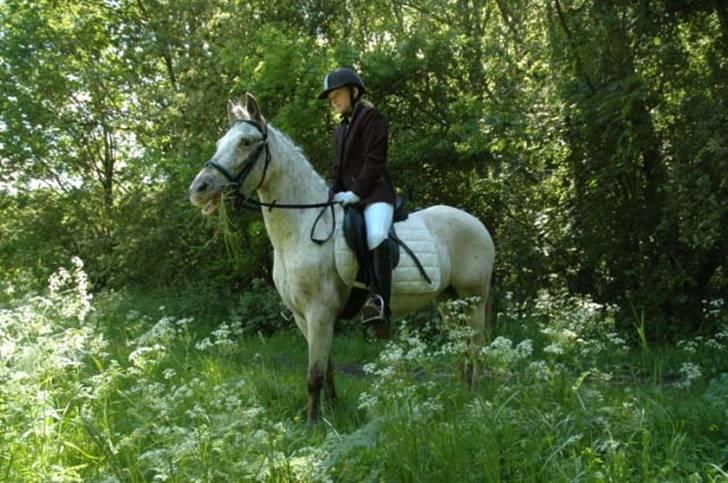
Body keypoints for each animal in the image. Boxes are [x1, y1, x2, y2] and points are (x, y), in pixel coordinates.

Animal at [189, 94, 495, 422]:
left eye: (245, 142)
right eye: (220, 142)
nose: (198, 189)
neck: (301, 226)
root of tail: (476, 222)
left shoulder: (319, 312)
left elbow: (314, 375)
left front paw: (312, 425)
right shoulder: (303, 317)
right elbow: (327, 368)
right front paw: (332, 411)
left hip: (474, 298)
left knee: (476, 347)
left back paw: (476, 401)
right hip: (448, 301)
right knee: (463, 346)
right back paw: (462, 396)